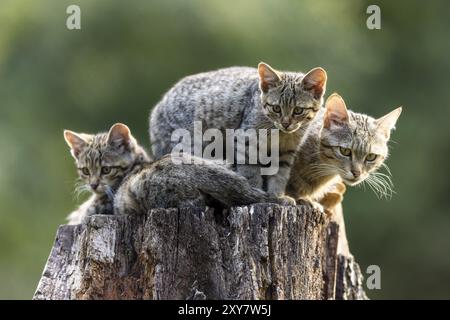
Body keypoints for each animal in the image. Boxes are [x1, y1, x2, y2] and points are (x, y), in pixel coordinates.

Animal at [150, 62, 326, 202]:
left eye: (298, 110)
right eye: (276, 108)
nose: (286, 123)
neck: (280, 134)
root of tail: (157, 110)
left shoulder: (286, 152)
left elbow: (279, 175)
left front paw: (276, 196)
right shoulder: (246, 141)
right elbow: (250, 171)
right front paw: (256, 193)